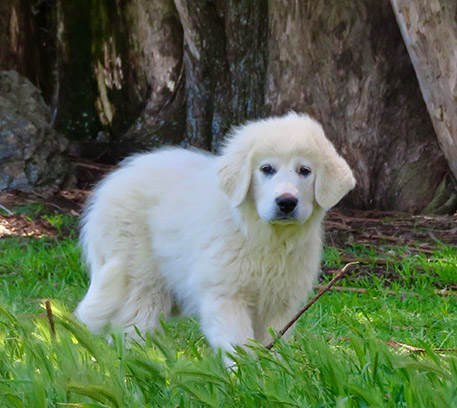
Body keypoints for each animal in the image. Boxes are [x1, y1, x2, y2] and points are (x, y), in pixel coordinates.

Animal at [75, 113, 354, 356]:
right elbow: (238, 345)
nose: (286, 202)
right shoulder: (226, 295)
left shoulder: (281, 304)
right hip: (139, 279)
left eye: (304, 171)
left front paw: (272, 375)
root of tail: (113, 180)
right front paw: (242, 378)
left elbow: (274, 344)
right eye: (267, 169)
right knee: (132, 327)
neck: (265, 237)